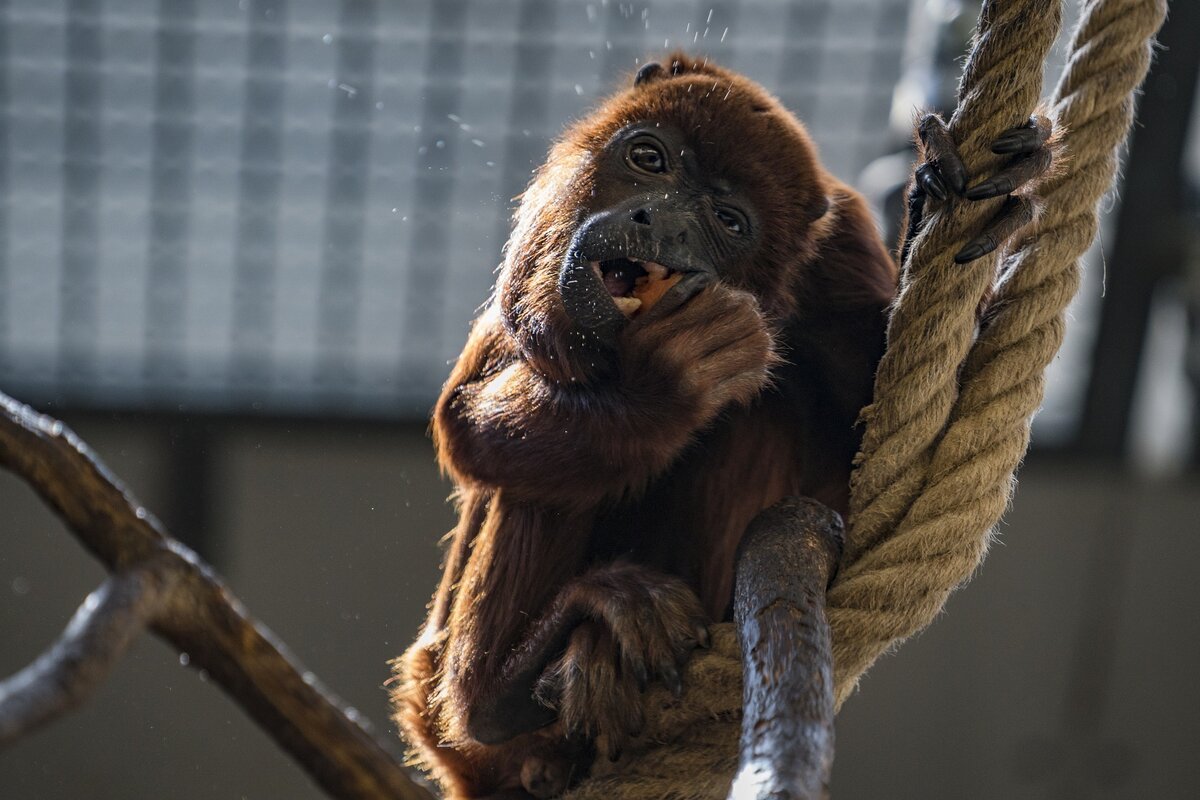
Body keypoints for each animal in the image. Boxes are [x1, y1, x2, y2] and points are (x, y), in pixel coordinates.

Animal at [391, 53, 1051, 796]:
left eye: (729, 222)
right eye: (648, 158)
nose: (656, 221)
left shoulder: (842, 248)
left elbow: (868, 454)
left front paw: (962, 189)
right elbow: (464, 417)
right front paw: (667, 380)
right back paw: (499, 694)